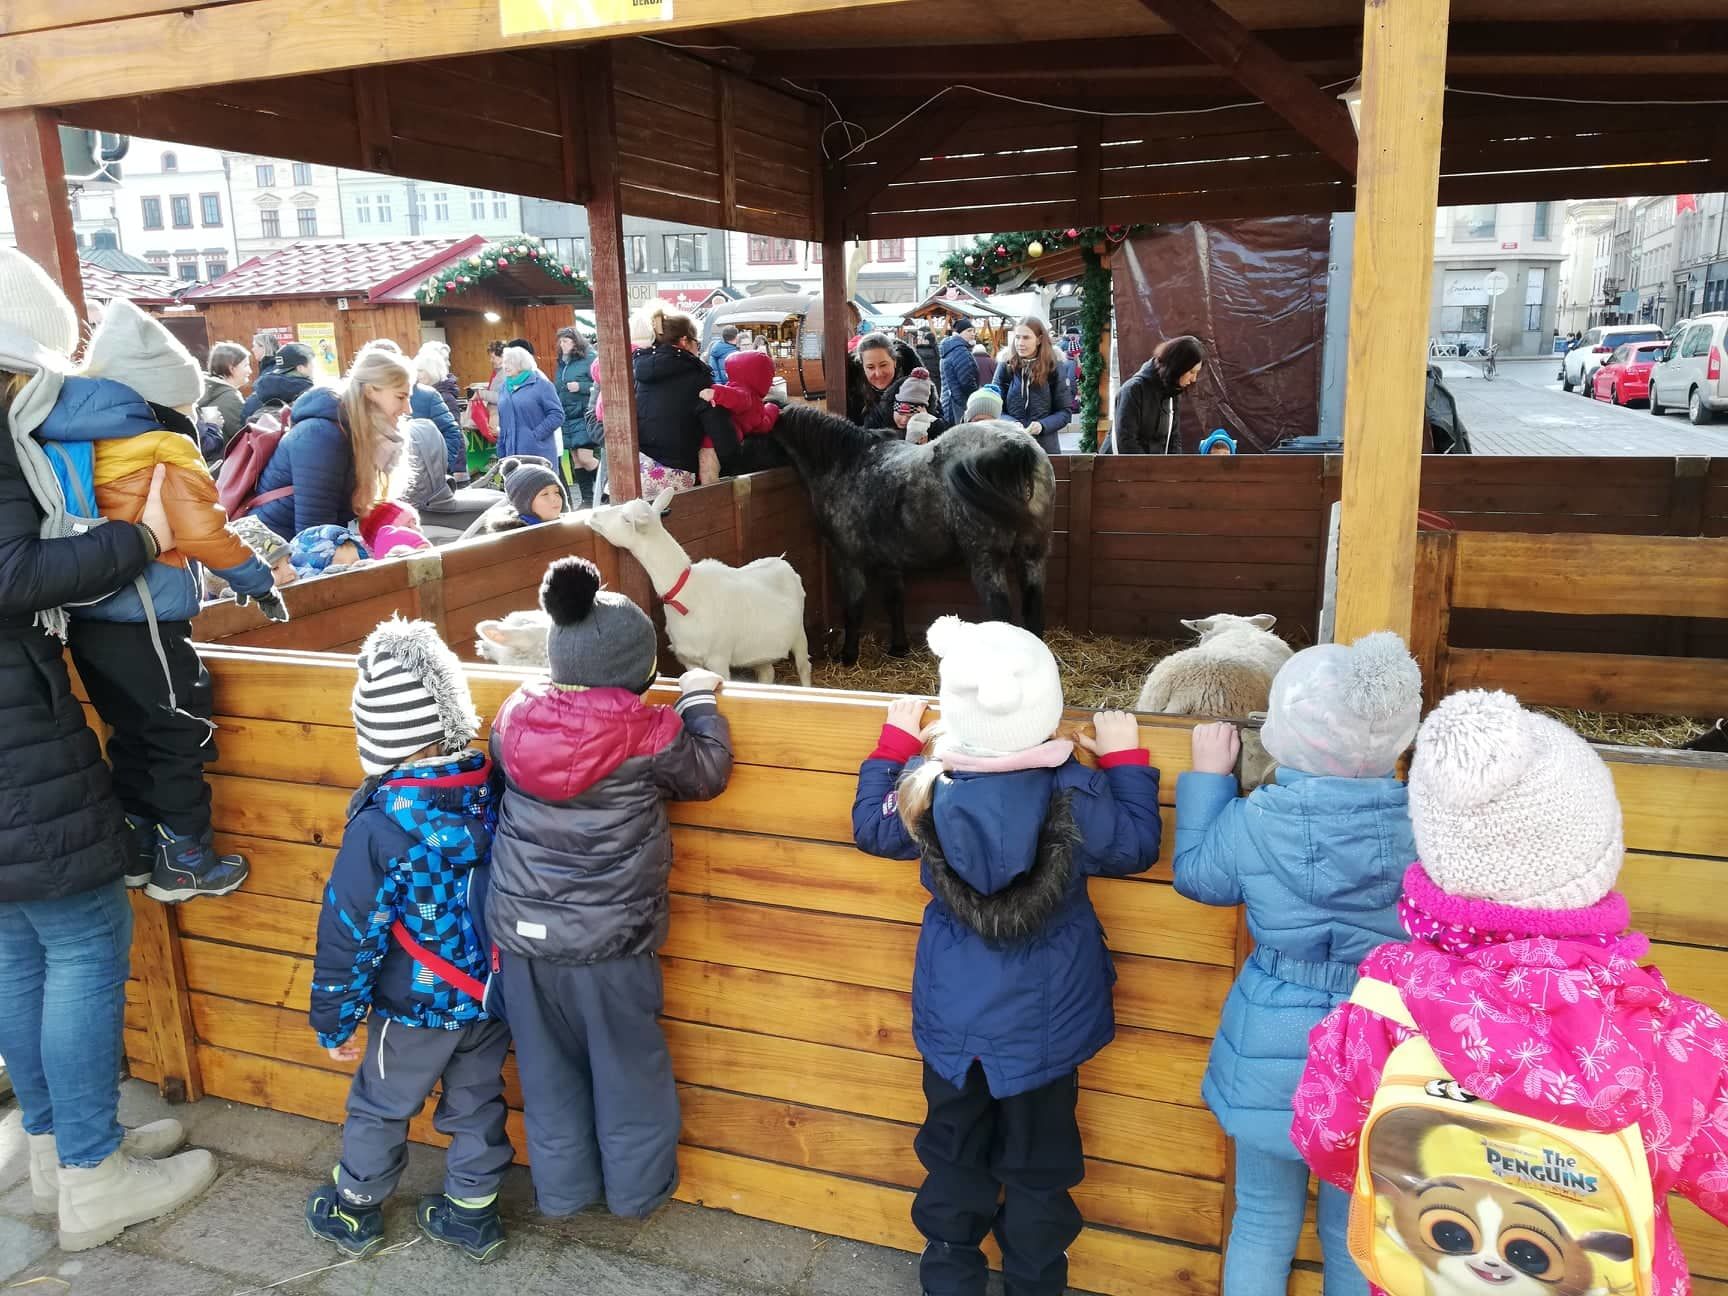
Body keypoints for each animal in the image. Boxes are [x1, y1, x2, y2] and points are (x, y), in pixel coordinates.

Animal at [769, 403, 1056, 665]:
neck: (846, 463)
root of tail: (1015, 445)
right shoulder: (889, 562)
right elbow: (895, 602)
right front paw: (899, 647)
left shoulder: (848, 560)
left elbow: (854, 607)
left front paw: (849, 655)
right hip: (1032, 555)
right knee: (1034, 609)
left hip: (987, 560)